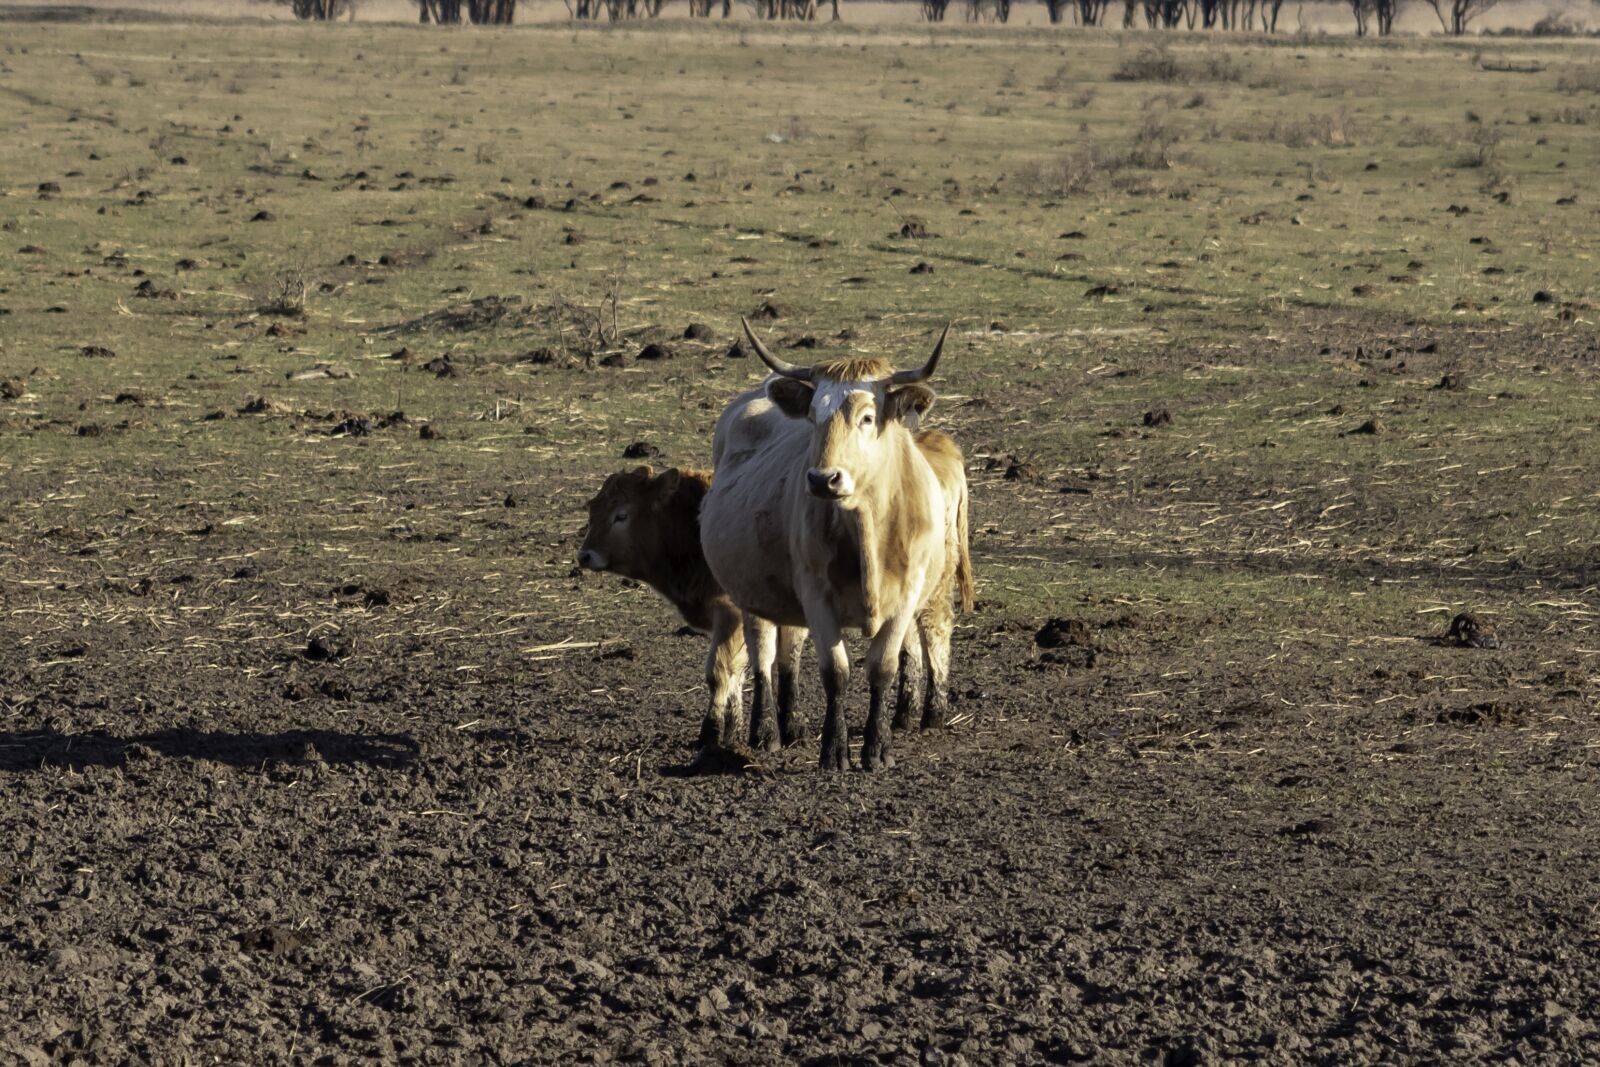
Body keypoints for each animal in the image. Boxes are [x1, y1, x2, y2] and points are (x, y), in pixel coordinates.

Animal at [577, 466, 748, 751]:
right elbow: (736, 674)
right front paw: (732, 730)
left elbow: (719, 672)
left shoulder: (731, 615)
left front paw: (711, 732)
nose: (584, 556)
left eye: (621, 515)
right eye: (593, 509)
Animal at [702, 320, 974, 771]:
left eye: (867, 417)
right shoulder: (816, 594)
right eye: (814, 416)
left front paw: (877, 748)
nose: (822, 479)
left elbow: (883, 666)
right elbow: (836, 671)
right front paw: (834, 749)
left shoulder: (907, 595)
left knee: (789, 653)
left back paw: (792, 725)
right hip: (752, 591)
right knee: (762, 654)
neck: (868, 534)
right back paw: (767, 731)